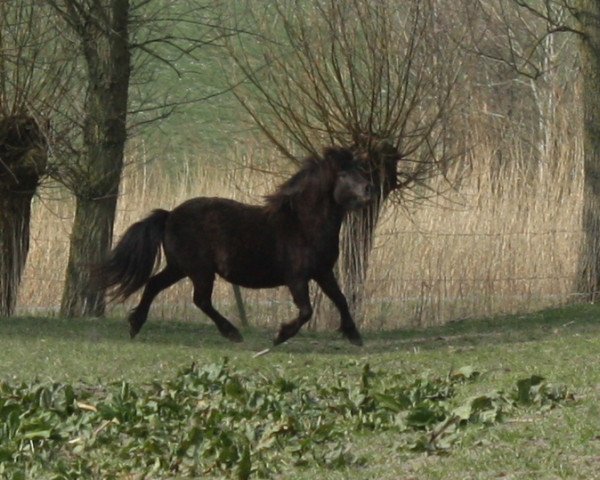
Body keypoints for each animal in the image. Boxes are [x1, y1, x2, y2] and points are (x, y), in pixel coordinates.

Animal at [96, 146, 372, 344]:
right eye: (343, 174)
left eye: (360, 169)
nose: (368, 188)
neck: (302, 224)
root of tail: (170, 214)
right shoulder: (297, 278)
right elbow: (306, 311)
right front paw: (280, 335)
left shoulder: (323, 272)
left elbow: (341, 299)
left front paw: (354, 335)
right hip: (199, 270)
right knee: (200, 300)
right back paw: (232, 332)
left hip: (179, 267)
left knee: (154, 285)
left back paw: (135, 325)